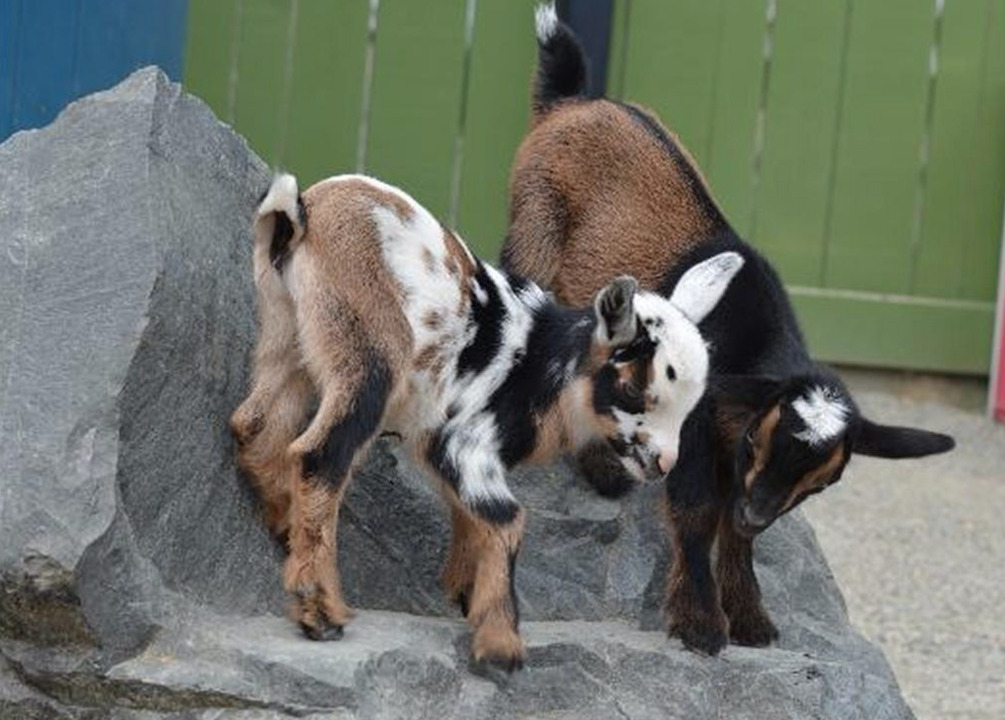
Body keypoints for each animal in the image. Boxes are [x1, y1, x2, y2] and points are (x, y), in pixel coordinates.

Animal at [229, 172, 744, 668]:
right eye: (637, 389)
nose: (664, 462)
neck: (543, 367)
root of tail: (304, 213)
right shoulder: (463, 439)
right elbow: (506, 517)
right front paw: (500, 644)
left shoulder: (442, 445)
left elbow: (467, 513)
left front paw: (465, 595)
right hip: (367, 351)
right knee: (320, 454)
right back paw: (320, 610)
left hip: (290, 334)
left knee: (256, 423)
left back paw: (282, 523)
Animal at [500, 4, 955, 656]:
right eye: (755, 445)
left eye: (822, 483)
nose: (757, 512)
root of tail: (575, 100)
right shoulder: (694, 431)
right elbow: (696, 513)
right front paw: (700, 623)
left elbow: (737, 534)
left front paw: (751, 617)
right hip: (535, 224)